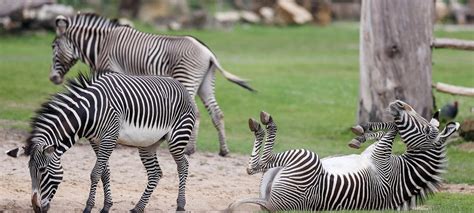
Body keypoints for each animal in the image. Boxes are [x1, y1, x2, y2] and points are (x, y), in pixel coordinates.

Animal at [6, 72, 194, 213]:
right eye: (29, 171)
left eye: (43, 170)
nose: (36, 208)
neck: (88, 112)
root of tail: (180, 85)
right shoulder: (95, 141)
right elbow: (105, 173)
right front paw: (106, 206)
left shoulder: (109, 137)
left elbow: (95, 173)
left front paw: (88, 207)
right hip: (147, 144)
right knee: (155, 173)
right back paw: (138, 208)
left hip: (177, 137)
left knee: (183, 165)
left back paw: (180, 204)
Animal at [48, 12, 256, 156]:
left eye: (53, 46)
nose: (53, 79)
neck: (101, 45)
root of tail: (208, 52)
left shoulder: (111, 71)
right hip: (205, 84)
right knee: (217, 114)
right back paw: (223, 150)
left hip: (186, 78)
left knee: (195, 113)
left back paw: (189, 149)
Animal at [230, 100, 460, 212]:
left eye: (429, 131)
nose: (400, 103)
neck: (406, 170)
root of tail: (271, 205)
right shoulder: (375, 152)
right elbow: (389, 128)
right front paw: (362, 132)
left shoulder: (380, 156)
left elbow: (394, 129)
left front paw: (365, 131)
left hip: (304, 157)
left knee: (256, 165)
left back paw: (264, 125)